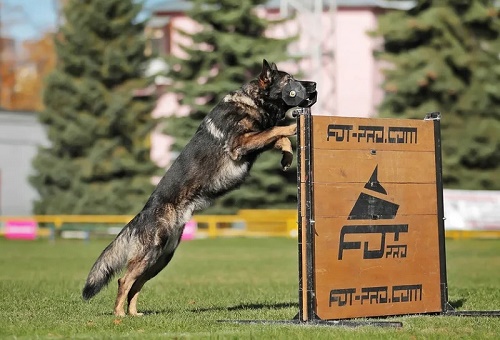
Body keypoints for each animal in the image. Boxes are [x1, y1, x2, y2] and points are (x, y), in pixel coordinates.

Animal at [82, 59, 316, 316]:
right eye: (289, 80)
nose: (314, 84)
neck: (253, 102)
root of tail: (142, 213)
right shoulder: (240, 143)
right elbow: (276, 130)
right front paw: (293, 127)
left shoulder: (252, 141)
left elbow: (276, 136)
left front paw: (287, 155)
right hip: (151, 253)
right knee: (124, 280)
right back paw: (119, 314)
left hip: (161, 258)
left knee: (136, 283)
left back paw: (134, 313)